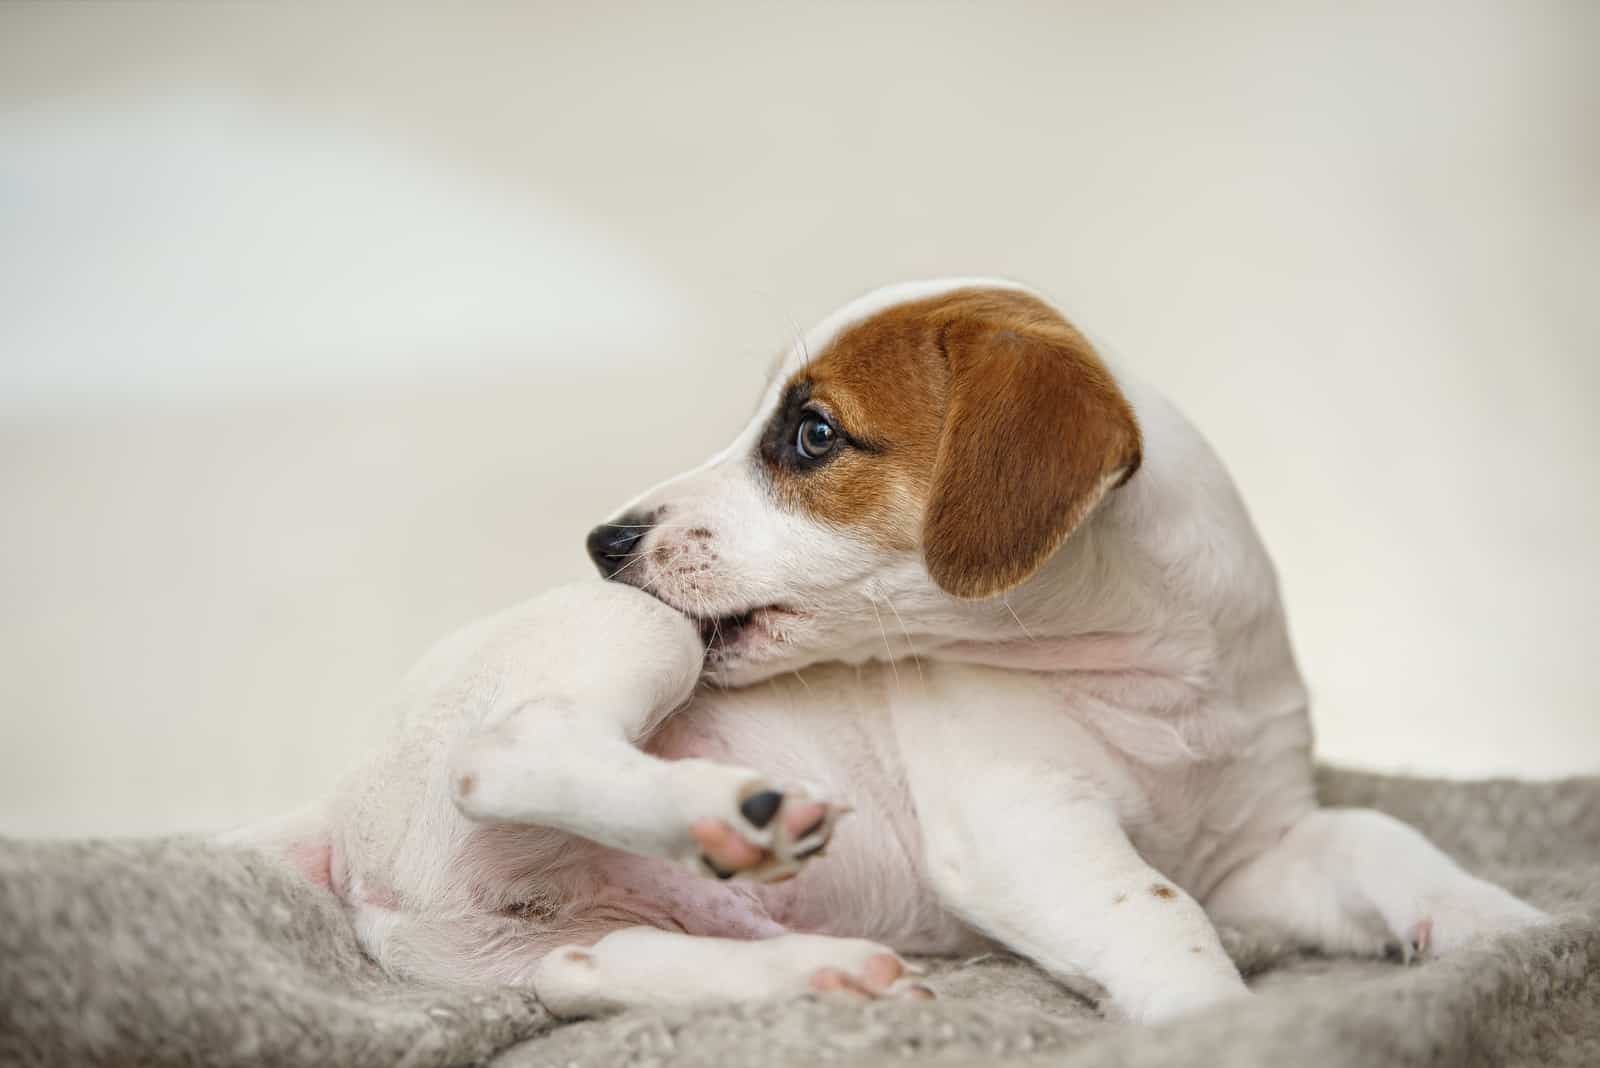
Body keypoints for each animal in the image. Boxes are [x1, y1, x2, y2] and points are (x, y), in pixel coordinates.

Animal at [243, 279, 1542, 1023]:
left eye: (813, 435)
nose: (604, 541)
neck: (1153, 678)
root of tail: (336, 818)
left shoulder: (1258, 849)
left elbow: (1381, 839)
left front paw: (1505, 929)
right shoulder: (1025, 829)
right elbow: (1159, 912)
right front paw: (1221, 1026)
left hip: (538, 944)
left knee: (584, 975)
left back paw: (818, 974)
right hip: (628, 640)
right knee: (506, 752)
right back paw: (731, 812)